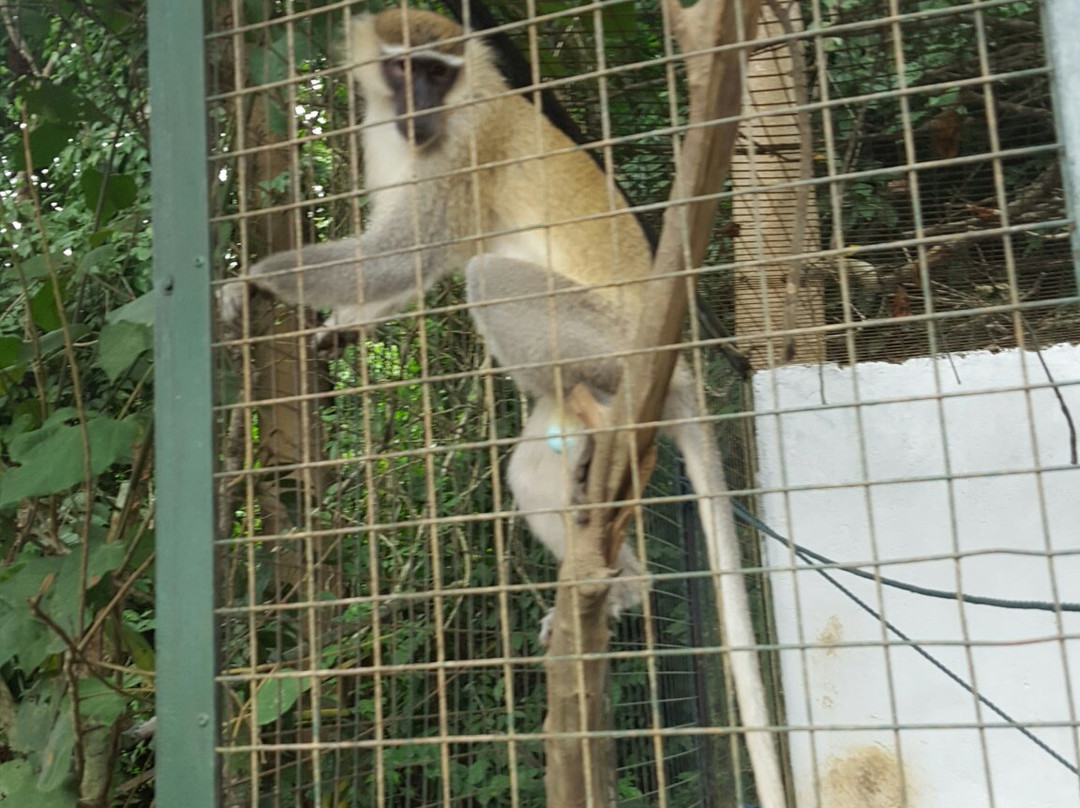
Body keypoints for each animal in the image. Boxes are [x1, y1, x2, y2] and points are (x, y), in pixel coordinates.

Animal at [220, 10, 785, 807]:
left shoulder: (461, 148)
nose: (420, 106)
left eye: (438, 71)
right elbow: (410, 266)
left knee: (488, 278)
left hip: (603, 343)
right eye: (404, 68)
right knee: (531, 470)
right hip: (585, 384)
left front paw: (256, 282)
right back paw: (622, 581)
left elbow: (408, 255)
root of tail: (676, 375)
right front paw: (341, 326)